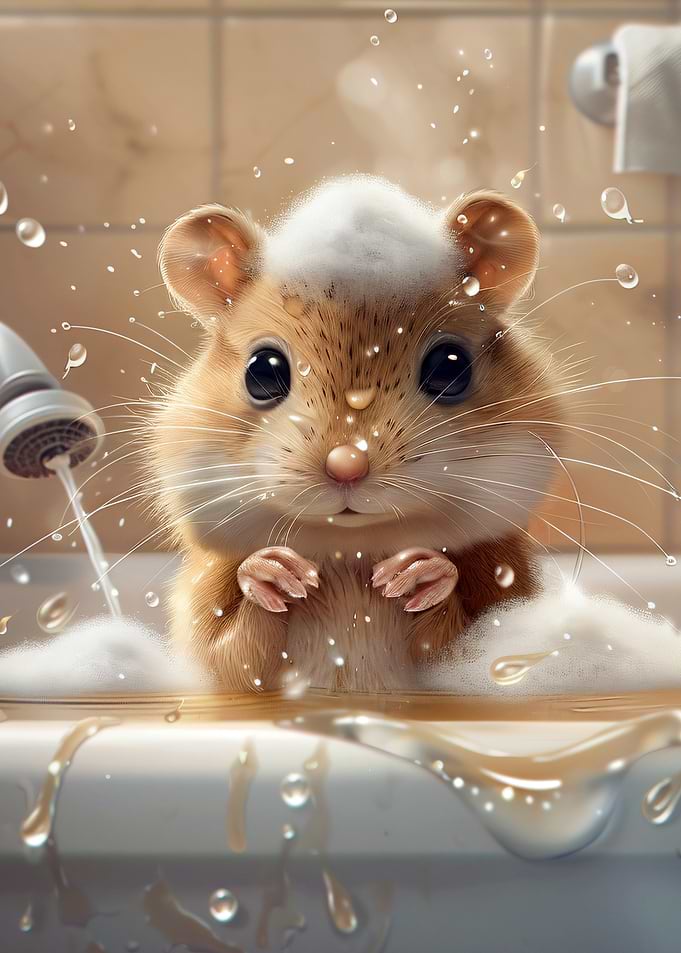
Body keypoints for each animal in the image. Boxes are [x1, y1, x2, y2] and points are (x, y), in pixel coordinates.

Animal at [152, 176, 568, 694]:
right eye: (261, 371)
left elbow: (458, 644)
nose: (346, 465)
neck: (351, 555)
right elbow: (234, 657)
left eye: (450, 368)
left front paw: (422, 574)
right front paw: (270, 572)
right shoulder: (207, 607)